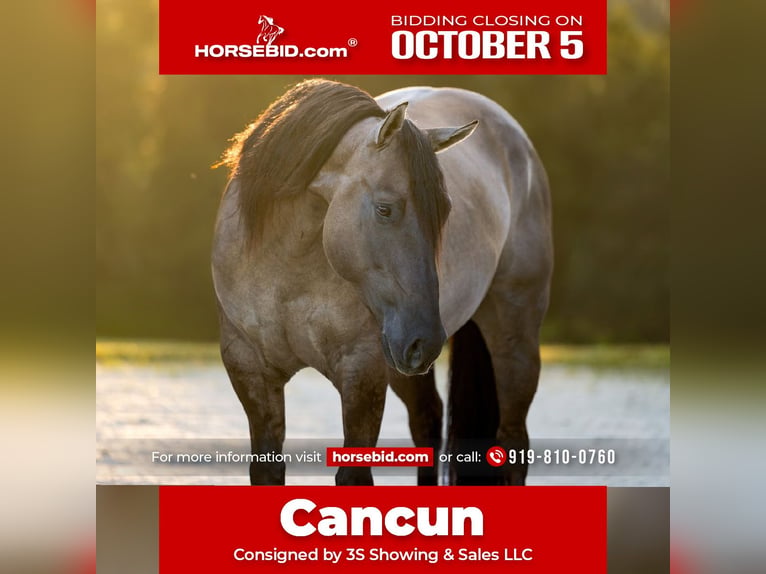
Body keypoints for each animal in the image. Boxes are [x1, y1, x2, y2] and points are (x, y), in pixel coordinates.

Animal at [212, 79, 552, 486]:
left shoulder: (362, 373)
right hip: (405, 362)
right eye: (385, 209)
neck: (287, 269)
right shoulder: (250, 370)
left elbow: (353, 475)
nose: (426, 339)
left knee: (513, 440)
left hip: (510, 339)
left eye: (445, 213)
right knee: (427, 421)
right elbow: (267, 470)